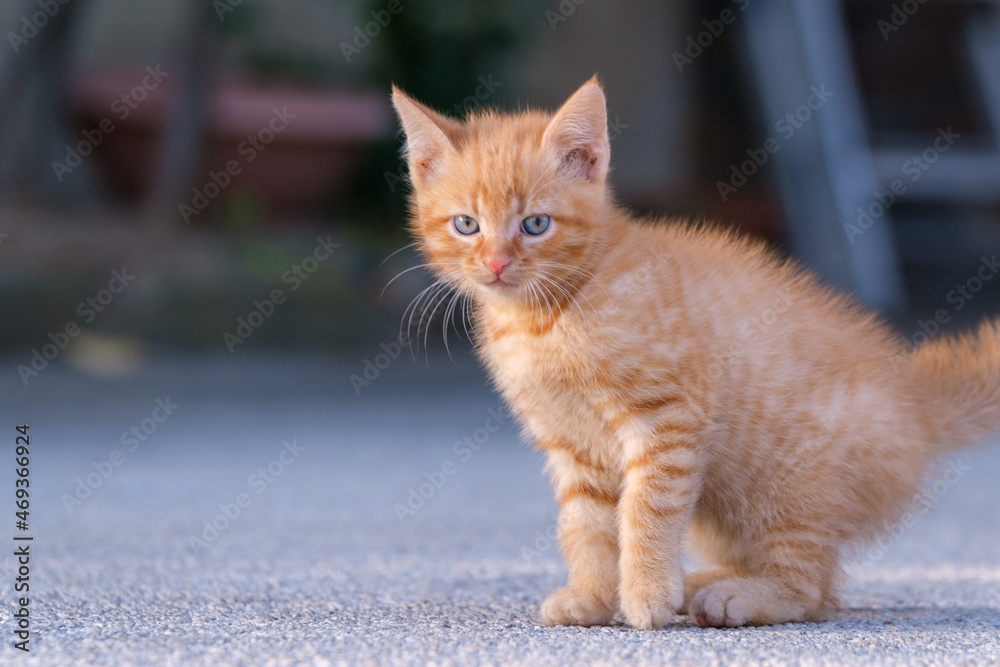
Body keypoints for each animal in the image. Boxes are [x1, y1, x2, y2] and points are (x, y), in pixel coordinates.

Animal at [390, 78, 1000, 632]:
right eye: (466, 225)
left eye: (535, 224)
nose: (496, 263)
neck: (547, 319)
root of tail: (913, 401)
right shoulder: (573, 446)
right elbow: (585, 524)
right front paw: (592, 595)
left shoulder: (669, 419)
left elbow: (647, 509)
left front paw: (645, 593)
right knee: (822, 588)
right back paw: (705, 581)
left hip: (789, 481)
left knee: (811, 588)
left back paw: (740, 596)